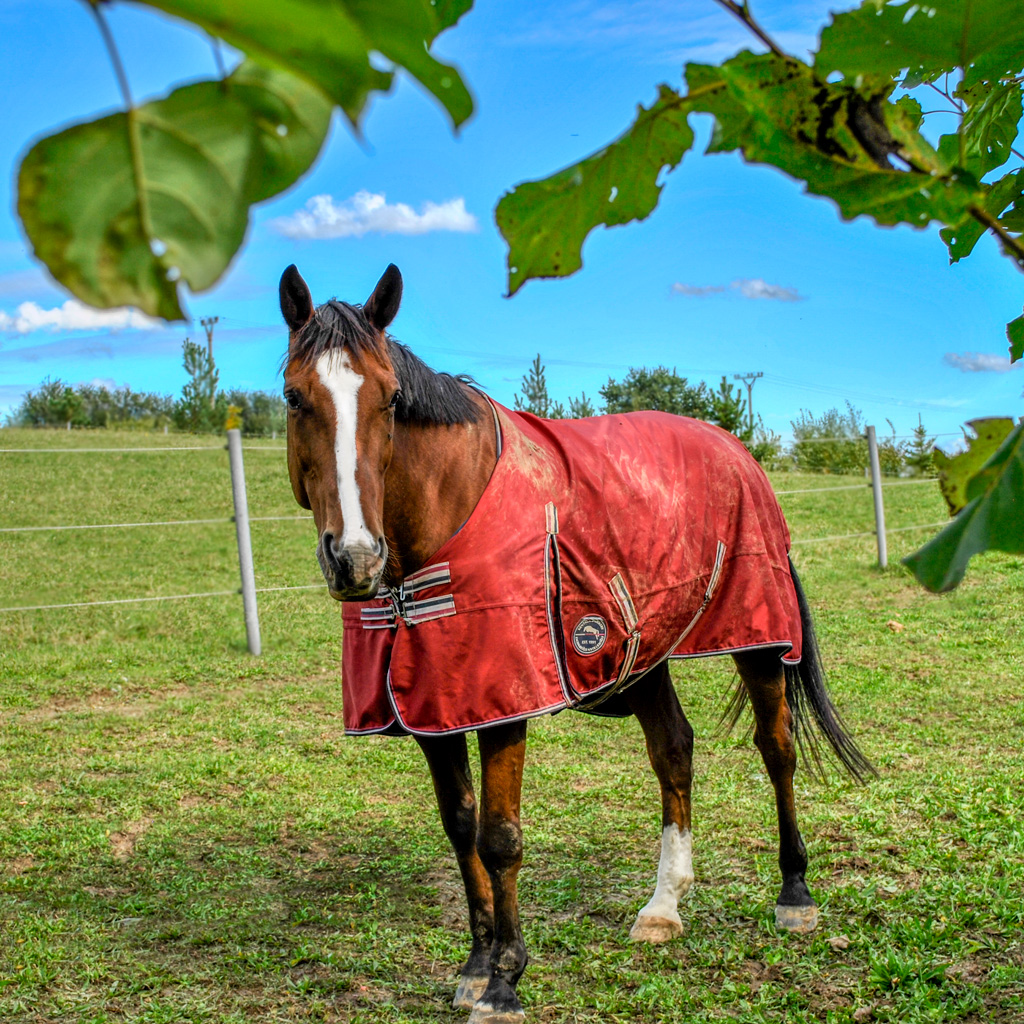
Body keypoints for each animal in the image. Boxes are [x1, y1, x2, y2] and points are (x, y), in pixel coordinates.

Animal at [278, 262, 872, 1024]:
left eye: (390, 399)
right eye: (296, 396)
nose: (355, 558)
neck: (446, 514)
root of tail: (734, 447)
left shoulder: (501, 701)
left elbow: (499, 837)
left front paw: (505, 981)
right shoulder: (434, 705)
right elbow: (459, 825)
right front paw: (476, 964)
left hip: (759, 639)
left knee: (778, 750)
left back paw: (794, 893)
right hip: (644, 653)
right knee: (674, 752)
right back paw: (663, 906)